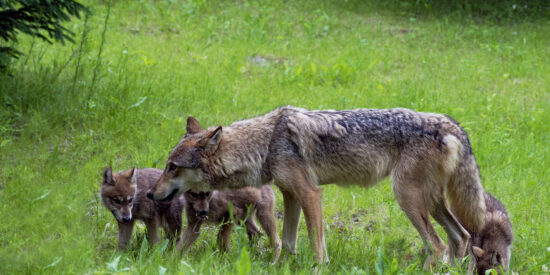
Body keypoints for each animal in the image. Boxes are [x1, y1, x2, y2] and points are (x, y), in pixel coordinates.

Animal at [147, 106, 488, 268]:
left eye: (173, 167)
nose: (150, 193)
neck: (266, 144)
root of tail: (449, 123)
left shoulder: (311, 194)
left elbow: (316, 246)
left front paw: (315, 268)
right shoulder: (290, 196)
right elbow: (287, 241)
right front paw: (278, 268)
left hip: (408, 200)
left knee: (438, 244)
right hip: (432, 203)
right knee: (461, 237)